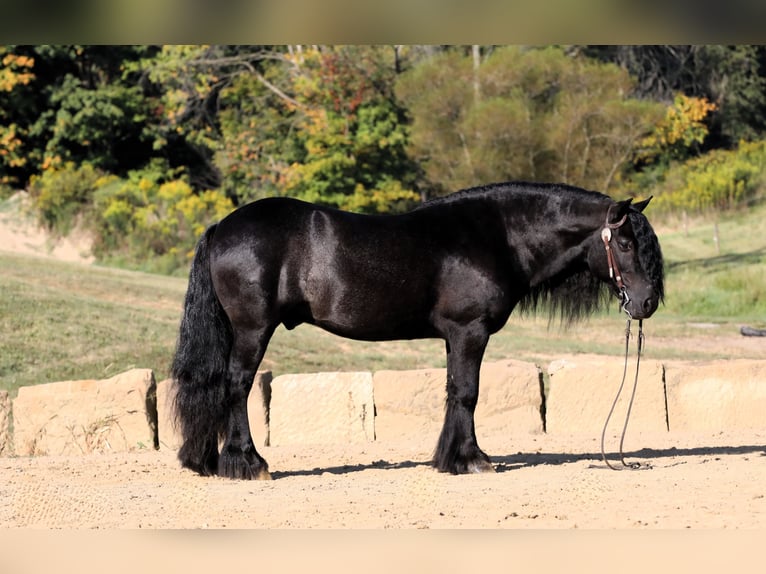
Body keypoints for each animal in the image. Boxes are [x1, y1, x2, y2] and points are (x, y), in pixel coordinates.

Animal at [172, 182, 664, 480]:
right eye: (625, 243)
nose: (646, 303)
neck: (498, 236)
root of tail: (221, 227)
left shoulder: (455, 337)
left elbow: (453, 391)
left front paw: (449, 458)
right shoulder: (470, 331)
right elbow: (468, 393)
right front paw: (473, 459)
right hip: (253, 329)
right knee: (236, 386)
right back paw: (248, 462)